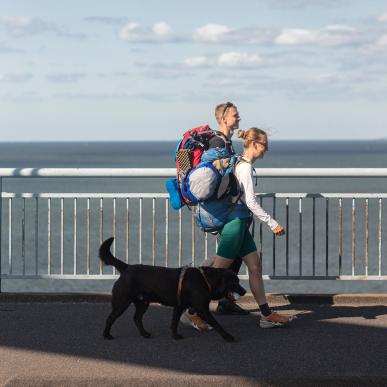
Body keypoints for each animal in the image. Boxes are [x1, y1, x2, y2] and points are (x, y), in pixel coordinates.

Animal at [99, 236, 246, 342]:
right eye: (235, 282)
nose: (244, 291)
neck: (206, 279)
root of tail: (126, 267)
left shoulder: (179, 306)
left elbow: (174, 323)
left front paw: (175, 336)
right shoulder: (202, 309)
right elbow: (216, 323)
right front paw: (227, 336)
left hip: (142, 303)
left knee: (136, 319)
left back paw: (145, 334)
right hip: (122, 302)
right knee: (110, 318)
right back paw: (106, 335)